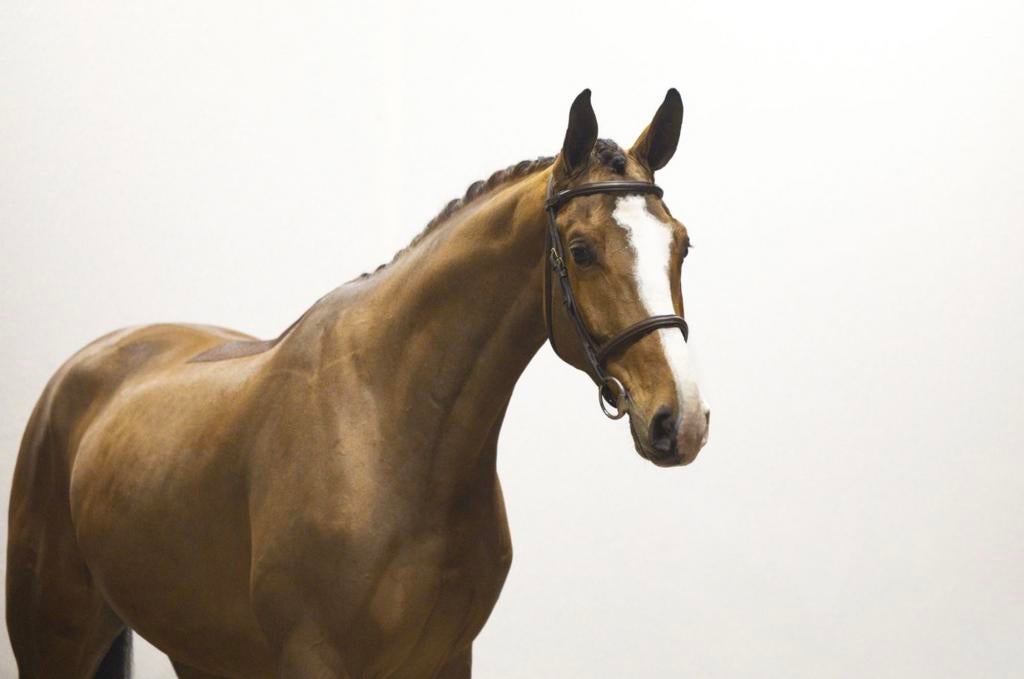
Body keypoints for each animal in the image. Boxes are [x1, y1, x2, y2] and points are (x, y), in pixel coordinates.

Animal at [6, 89, 710, 678]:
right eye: (583, 249)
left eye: (681, 245)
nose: (681, 420)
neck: (390, 433)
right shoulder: (315, 660)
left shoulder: (448, 658)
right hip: (54, 641)